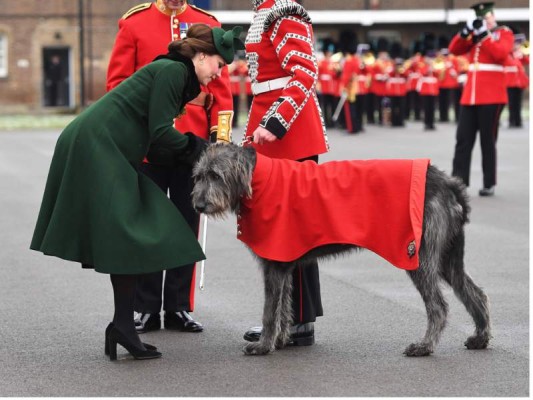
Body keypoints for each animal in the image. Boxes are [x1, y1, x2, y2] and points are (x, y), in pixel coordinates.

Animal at [191, 144, 490, 356]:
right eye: (199, 176)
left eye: (216, 175)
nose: (198, 205)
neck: (259, 180)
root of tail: (449, 183)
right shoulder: (283, 261)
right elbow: (284, 307)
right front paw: (280, 340)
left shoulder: (274, 265)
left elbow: (269, 310)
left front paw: (263, 345)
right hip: (449, 256)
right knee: (474, 292)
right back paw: (481, 337)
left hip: (419, 255)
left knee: (438, 306)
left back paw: (424, 346)